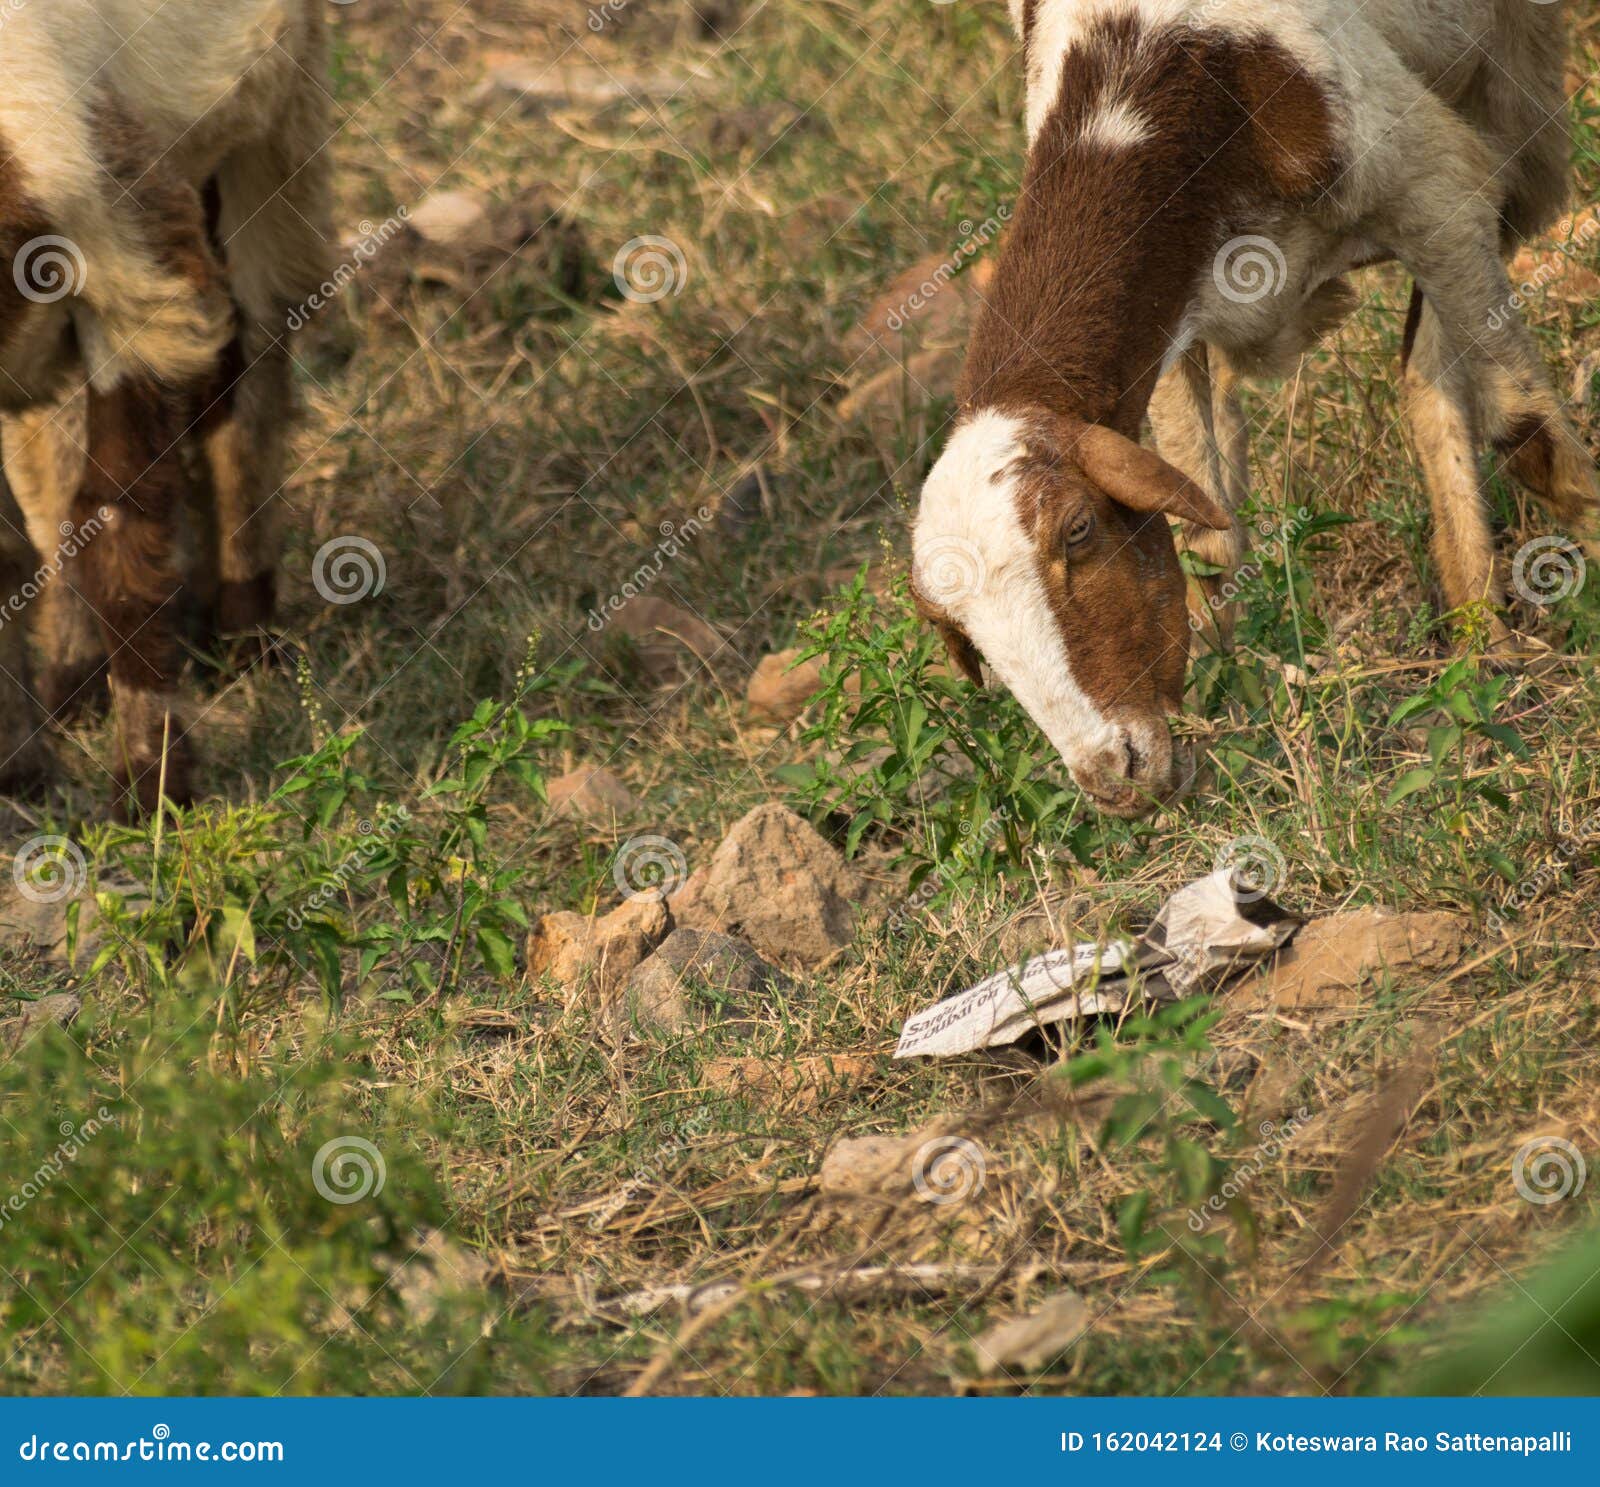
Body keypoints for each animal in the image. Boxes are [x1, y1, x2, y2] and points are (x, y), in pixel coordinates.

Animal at [0, 0, 331, 812]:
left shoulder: (136, 275)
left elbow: (121, 530)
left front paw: (152, 788)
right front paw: (20, 767)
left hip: (272, 129)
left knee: (249, 383)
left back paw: (243, 636)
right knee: (52, 471)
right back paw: (74, 681)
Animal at [913, 0, 1600, 817]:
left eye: (1077, 530)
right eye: (964, 637)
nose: (1114, 778)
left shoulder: (1435, 182)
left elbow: (1534, 442)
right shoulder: (1171, 310)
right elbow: (1209, 537)